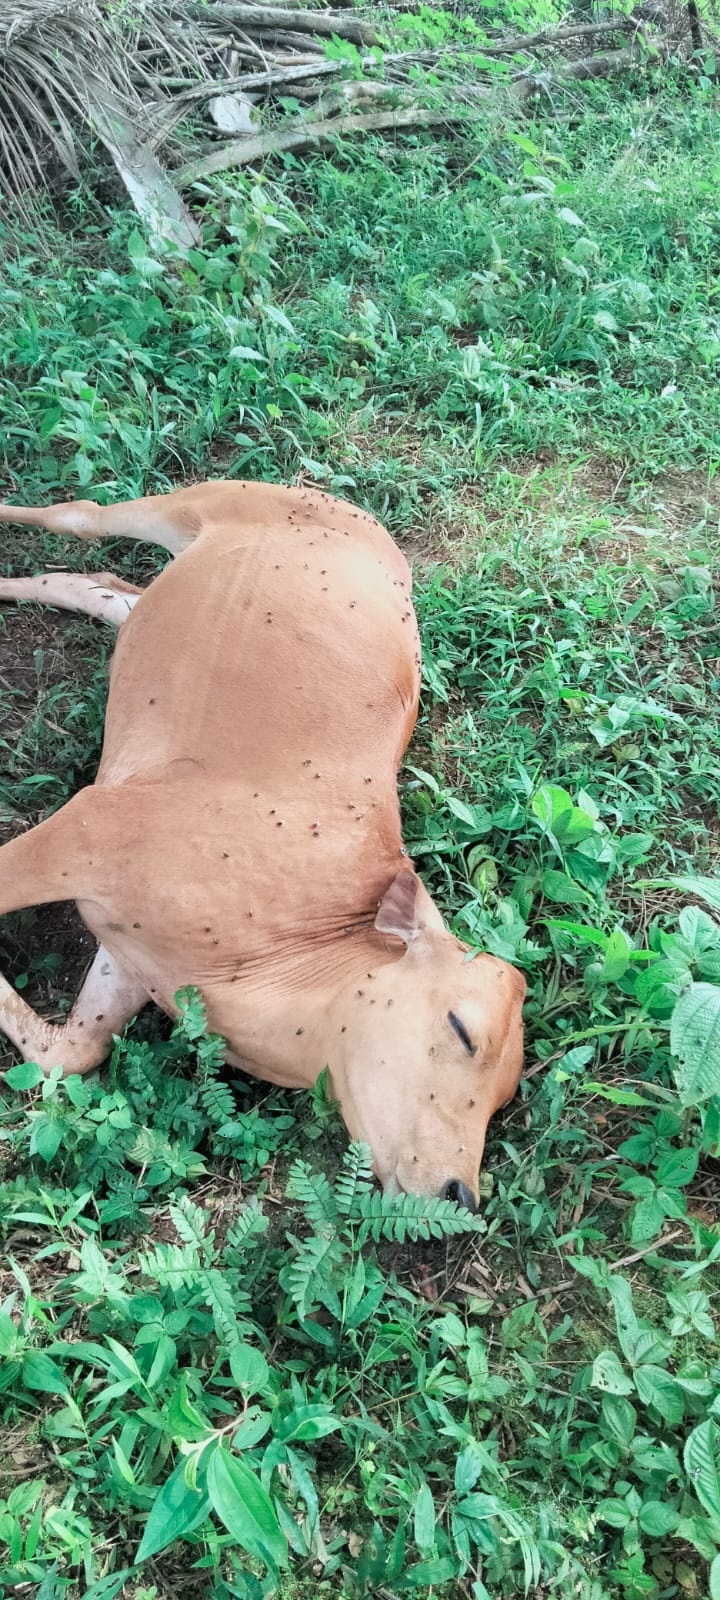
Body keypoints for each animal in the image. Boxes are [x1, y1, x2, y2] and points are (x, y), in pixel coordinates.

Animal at [0, 480, 524, 1203]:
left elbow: (70, 1055)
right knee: (75, 518)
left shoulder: (128, 957)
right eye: (462, 1028)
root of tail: (353, 513)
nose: (459, 1194)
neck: (290, 946)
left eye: (504, 1097)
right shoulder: (90, 829)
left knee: (105, 587)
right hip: (193, 502)